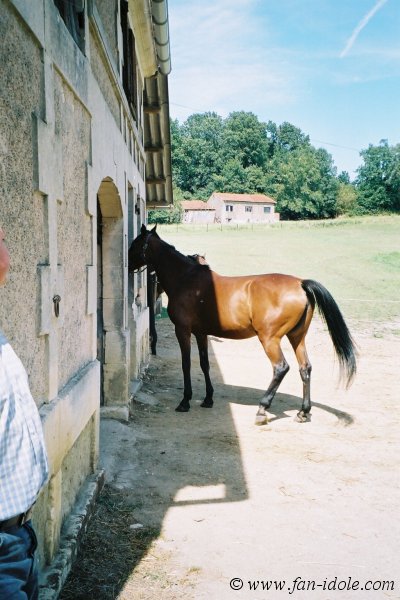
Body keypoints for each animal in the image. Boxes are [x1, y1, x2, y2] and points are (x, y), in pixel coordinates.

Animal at [130, 225, 358, 426]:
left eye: (135, 243)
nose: (127, 263)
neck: (186, 279)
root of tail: (300, 284)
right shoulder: (201, 333)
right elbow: (204, 364)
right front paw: (208, 399)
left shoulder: (183, 331)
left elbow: (186, 364)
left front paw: (185, 401)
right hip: (297, 337)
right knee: (305, 368)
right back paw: (303, 412)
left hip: (270, 339)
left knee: (281, 368)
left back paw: (262, 409)